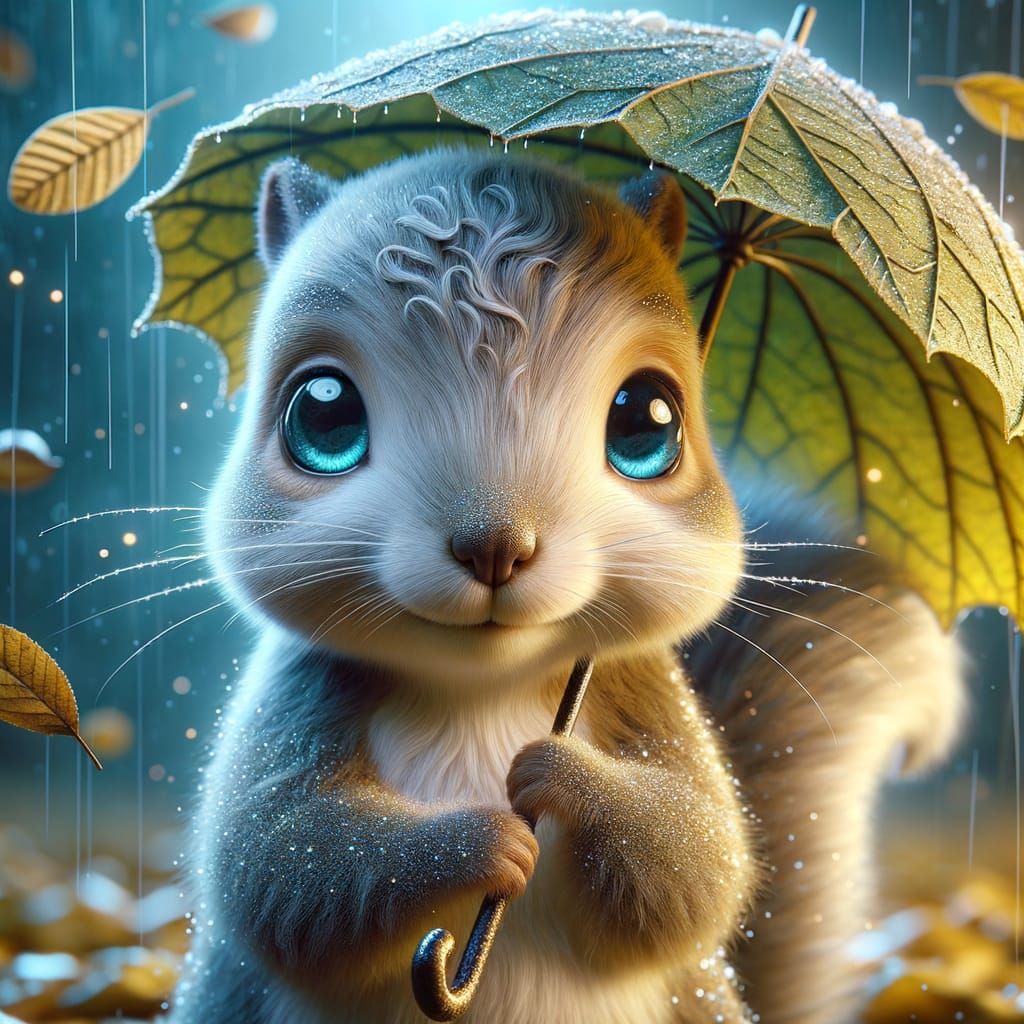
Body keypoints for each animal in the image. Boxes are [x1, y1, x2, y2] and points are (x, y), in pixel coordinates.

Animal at [170, 147, 965, 1023]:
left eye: (647, 423)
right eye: (323, 415)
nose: (494, 544)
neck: (479, 687)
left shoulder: (641, 686)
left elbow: (701, 858)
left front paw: (560, 773)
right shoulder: (303, 692)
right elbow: (280, 860)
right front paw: (481, 840)